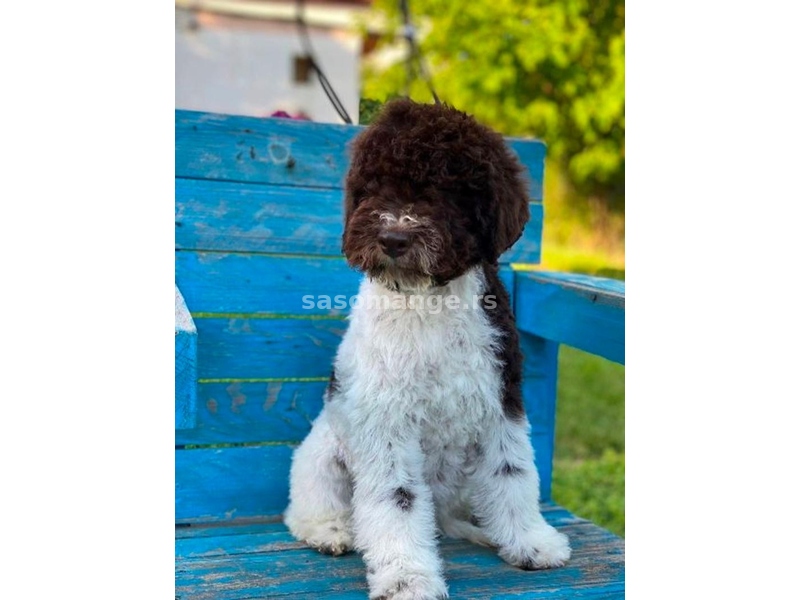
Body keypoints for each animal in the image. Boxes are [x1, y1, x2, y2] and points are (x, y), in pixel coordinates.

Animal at [284, 99, 572, 600]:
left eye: (448, 191)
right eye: (375, 186)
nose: (394, 239)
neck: (427, 301)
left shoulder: (500, 400)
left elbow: (513, 472)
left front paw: (530, 542)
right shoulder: (386, 419)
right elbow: (396, 499)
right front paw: (407, 577)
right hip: (324, 453)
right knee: (306, 504)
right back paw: (331, 531)